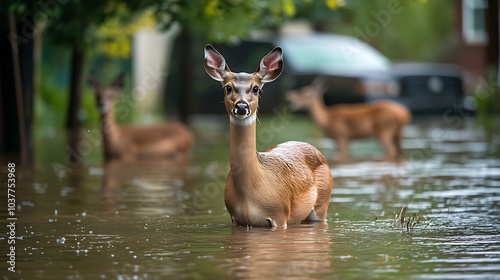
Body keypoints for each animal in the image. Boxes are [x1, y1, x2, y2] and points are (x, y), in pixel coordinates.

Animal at [201, 43, 334, 228]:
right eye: (228, 87)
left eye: (256, 88)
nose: (241, 107)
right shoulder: (235, 219)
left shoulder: (279, 215)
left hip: (322, 203)